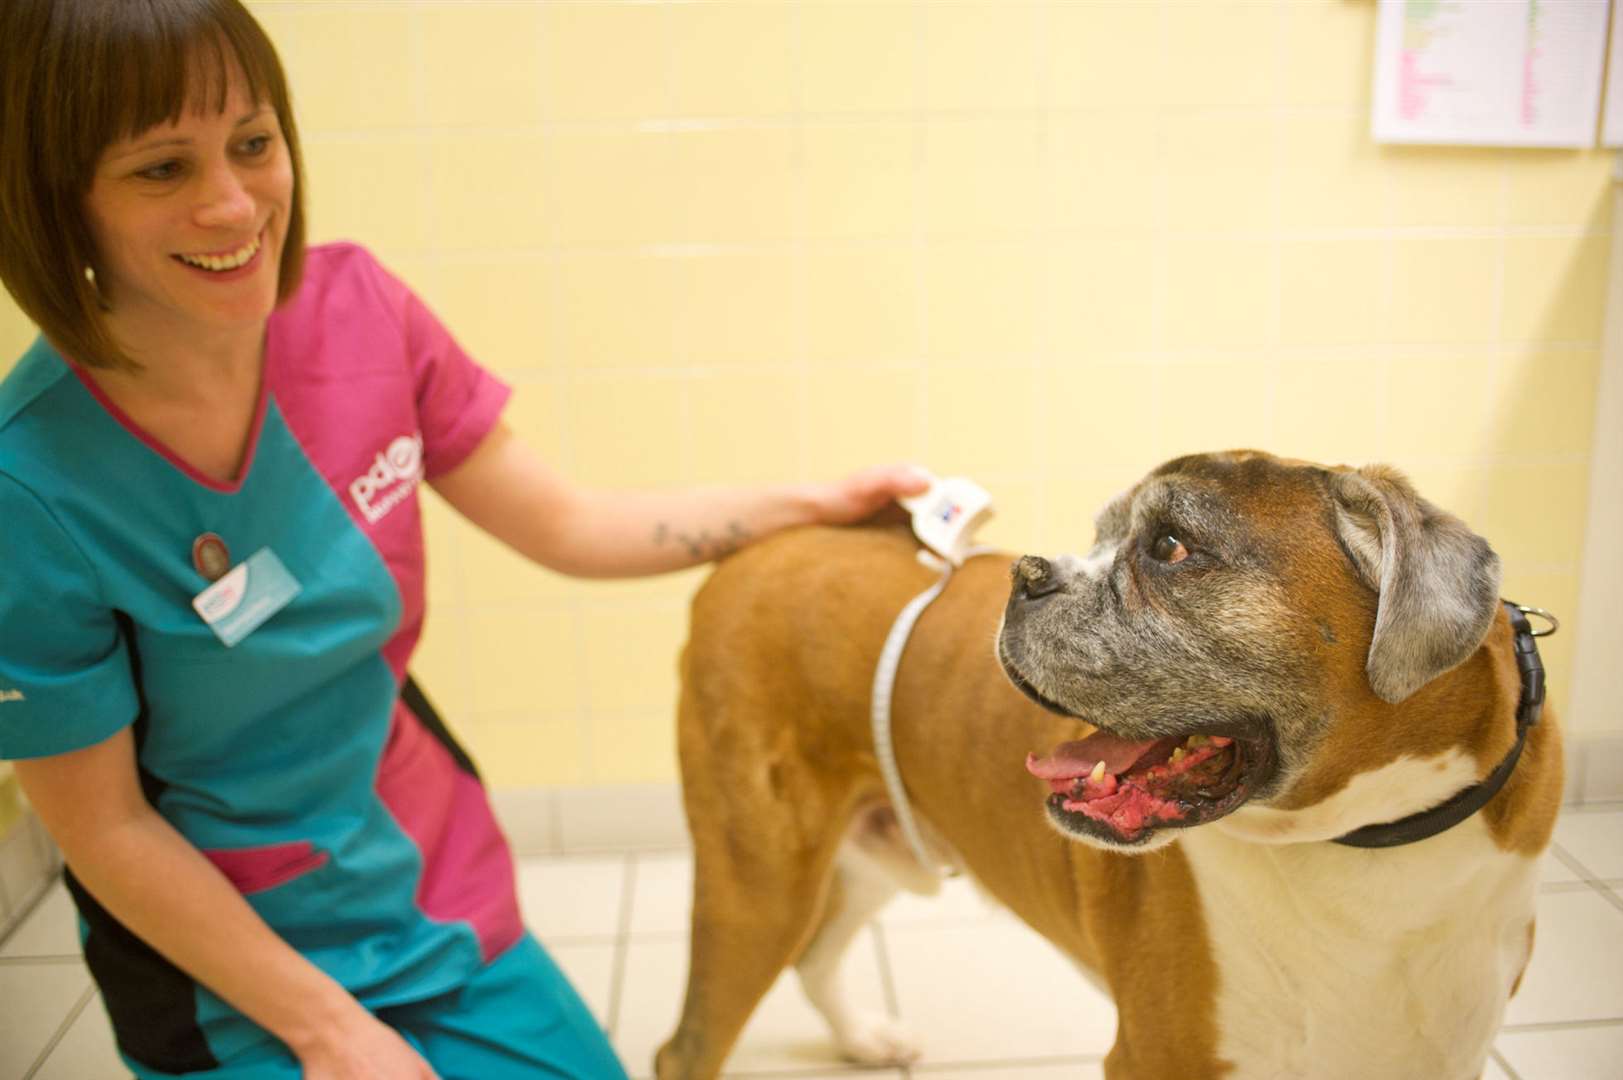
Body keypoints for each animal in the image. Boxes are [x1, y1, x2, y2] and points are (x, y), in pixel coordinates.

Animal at [652, 451, 1564, 1071]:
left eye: (1169, 547)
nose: (1026, 573)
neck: (1369, 838)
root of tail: (759, 548)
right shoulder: (1162, 1055)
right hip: (757, 879)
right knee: (689, 1045)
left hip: (871, 847)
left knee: (815, 957)